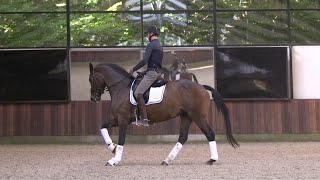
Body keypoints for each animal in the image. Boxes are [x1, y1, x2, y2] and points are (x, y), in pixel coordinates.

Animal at [89, 63, 239, 166]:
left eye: (91, 79)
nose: (93, 98)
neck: (121, 87)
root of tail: (201, 86)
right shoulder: (116, 119)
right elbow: (102, 127)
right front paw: (112, 148)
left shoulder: (123, 119)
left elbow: (121, 139)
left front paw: (114, 159)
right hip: (186, 116)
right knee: (182, 137)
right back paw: (167, 160)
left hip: (198, 116)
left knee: (209, 133)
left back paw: (212, 159)